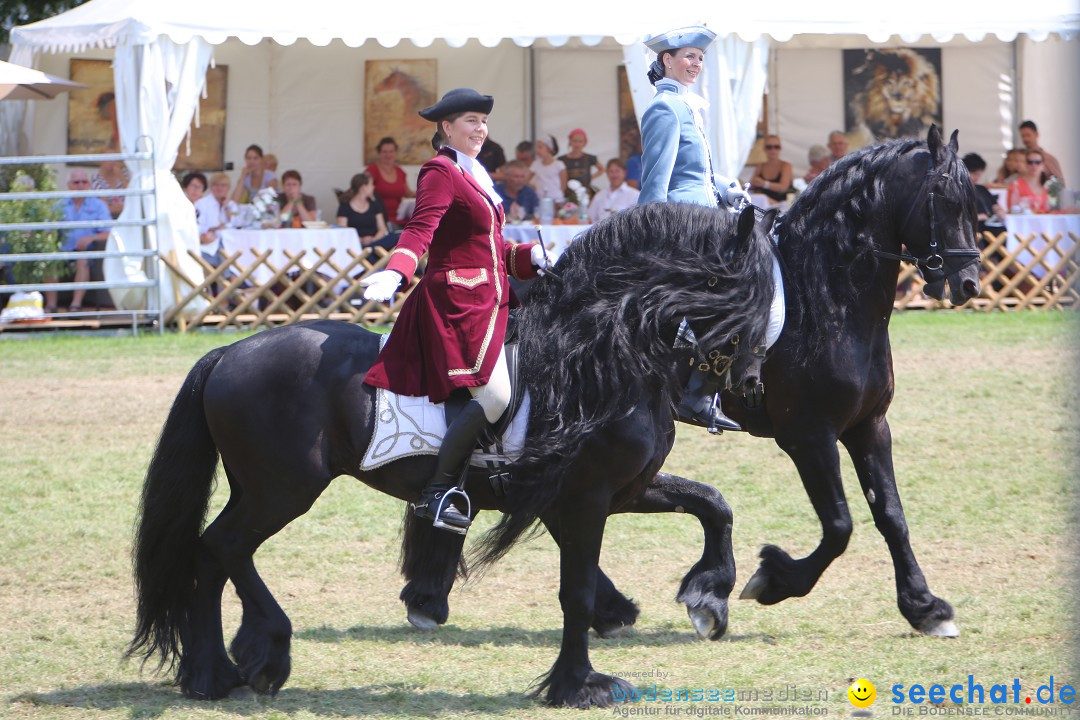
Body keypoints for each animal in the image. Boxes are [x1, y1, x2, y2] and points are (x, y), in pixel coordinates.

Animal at [128, 202, 777, 708]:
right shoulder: (584, 497)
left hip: (257, 489)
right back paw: (255, 654)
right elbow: (575, 590)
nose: (750, 383)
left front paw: (709, 597)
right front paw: (580, 683)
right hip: (281, 490)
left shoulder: (620, 490)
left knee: (213, 555)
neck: (596, 355)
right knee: (222, 547)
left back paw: (215, 672)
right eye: (749, 289)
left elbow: (712, 503)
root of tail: (229, 351)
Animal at [403, 124, 980, 643]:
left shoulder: (868, 426)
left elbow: (891, 516)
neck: (825, 301)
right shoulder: (808, 436)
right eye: (943, 199)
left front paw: (926, 607)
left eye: (973, 203)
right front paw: (771, 580)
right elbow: (839, 526)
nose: (968, 282)